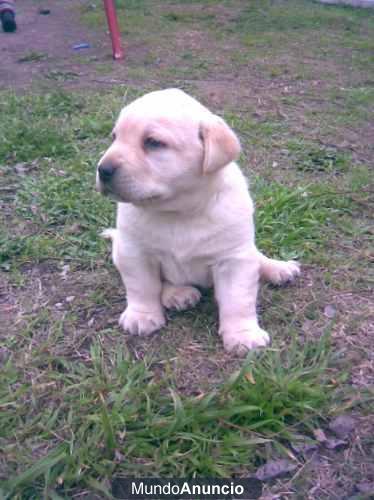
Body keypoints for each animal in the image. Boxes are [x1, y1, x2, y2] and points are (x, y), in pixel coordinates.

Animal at [97, 91, 300, 356]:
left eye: (153, 142)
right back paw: (177, 294)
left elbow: (238, 299)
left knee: (256, 257)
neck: (179, 211)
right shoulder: (134, 252)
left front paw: (243, 334)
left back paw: (278, 268)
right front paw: (142, 315)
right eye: (114, 138)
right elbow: (142, 286)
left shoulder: (233, 259)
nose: (102, 169)